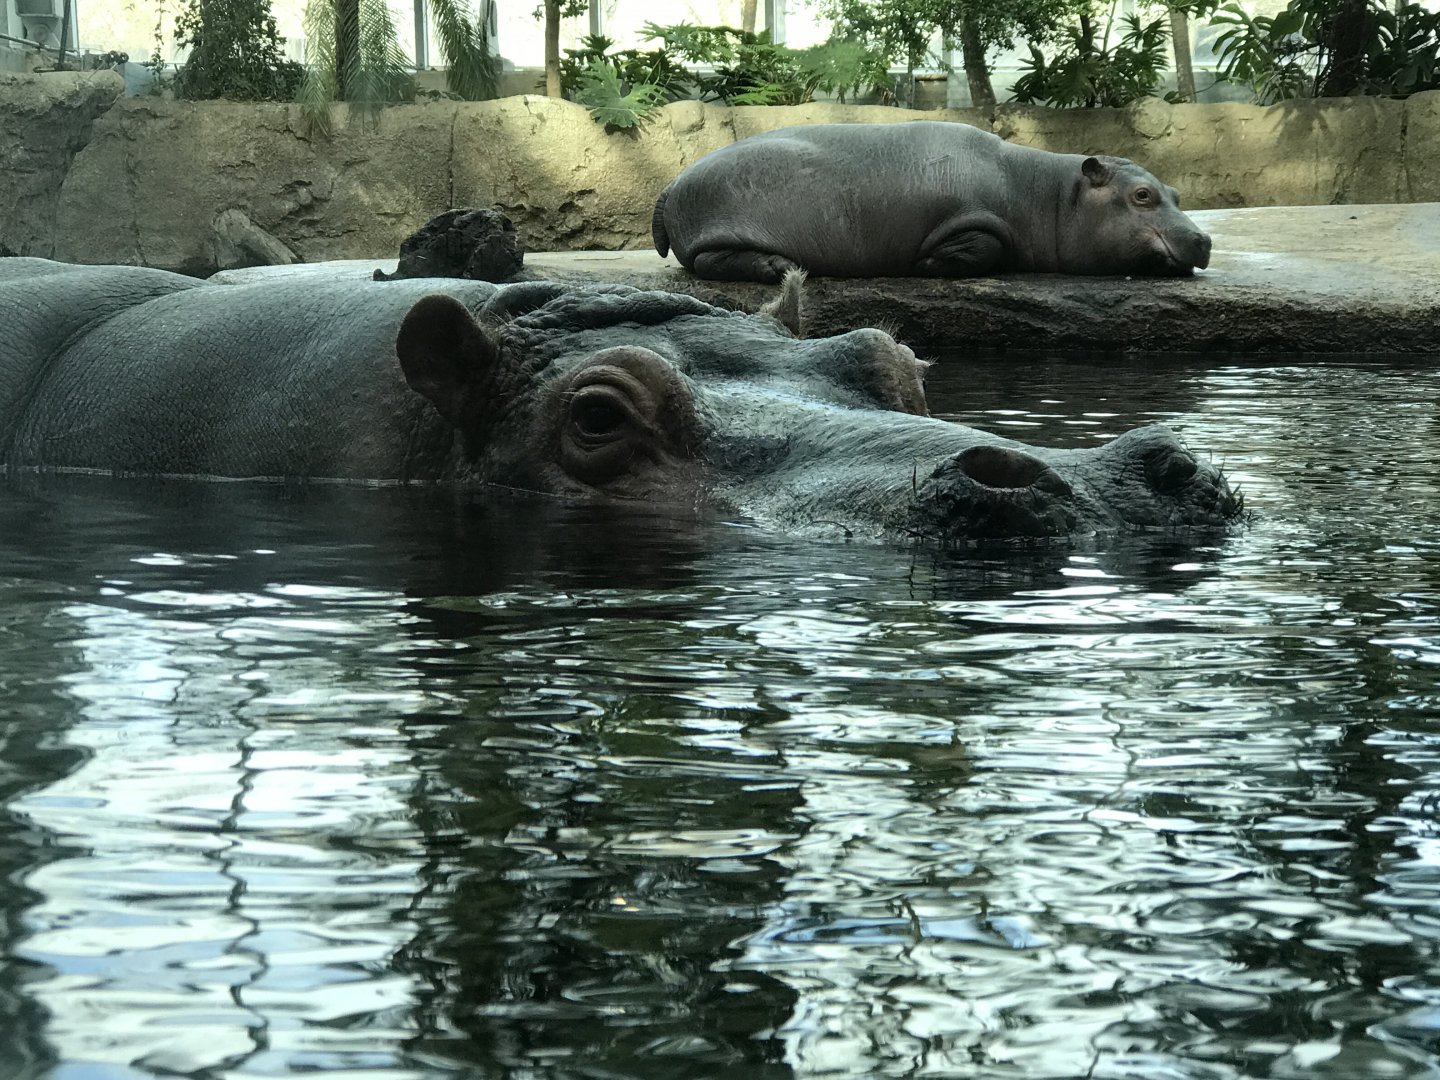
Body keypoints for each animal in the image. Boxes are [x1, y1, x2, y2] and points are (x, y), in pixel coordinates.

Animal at [652, 121, 1212, 283]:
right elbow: (983, 247)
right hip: (717, 232)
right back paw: (778, 267)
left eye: (1176, 193)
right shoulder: (969, 220)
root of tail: (669, 185)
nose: (1204, 238)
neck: (1049, 193)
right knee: (708, 262)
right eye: (1141, 195)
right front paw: (925, 264)